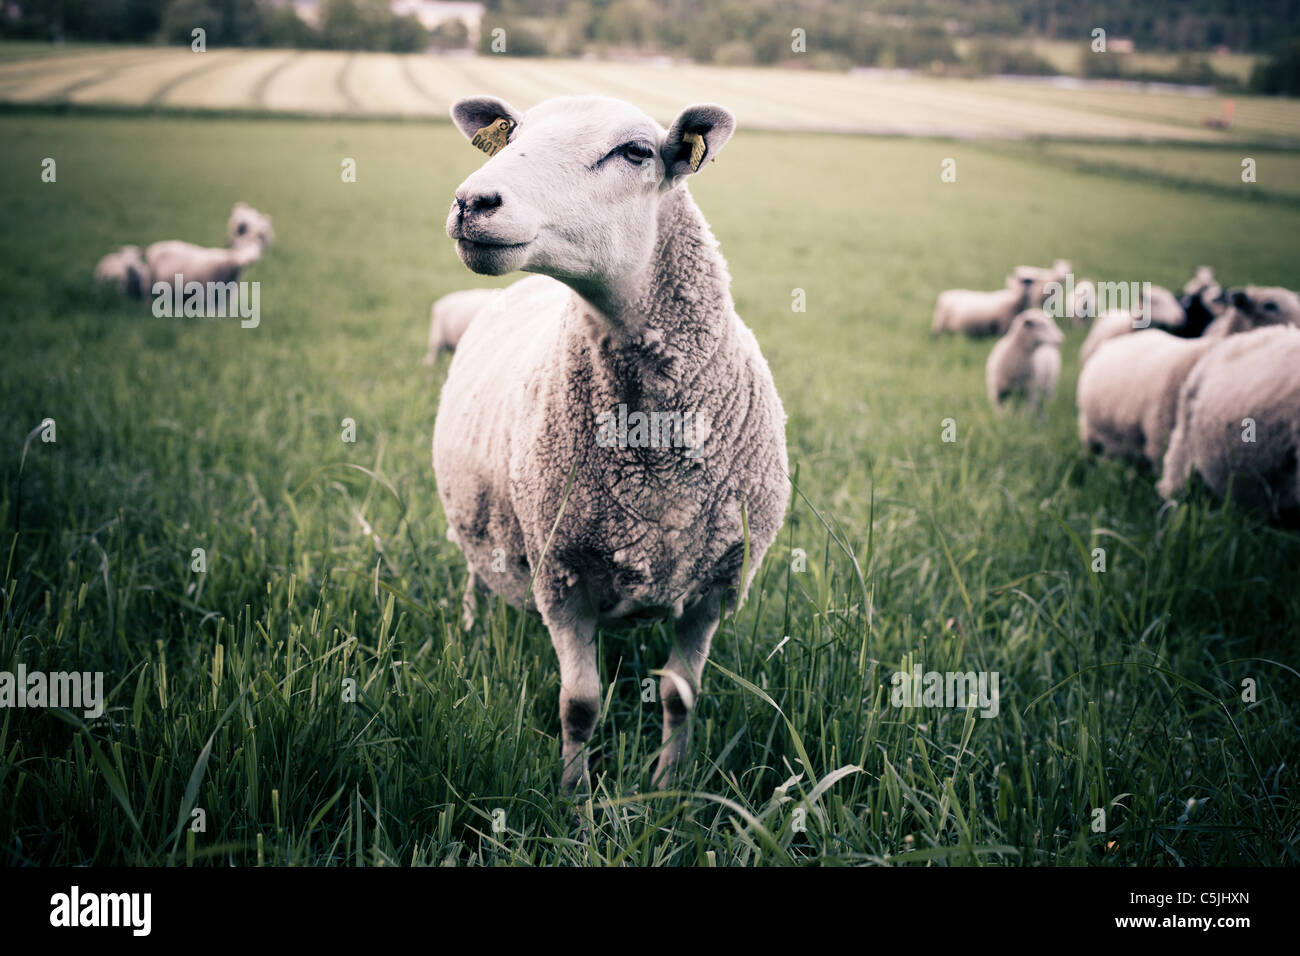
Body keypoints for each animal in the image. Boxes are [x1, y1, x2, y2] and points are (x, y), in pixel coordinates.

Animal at [431, 95, 789, 793]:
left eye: (635, 152)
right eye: (512, 135)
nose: (472, 201)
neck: (654, 456)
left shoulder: (714, 586)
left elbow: (681, 695)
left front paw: (668, 787)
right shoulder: (559, 572)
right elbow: (579, 703)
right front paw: (573, 795)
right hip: (478, 526)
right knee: (475, 576)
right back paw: (471, 630)